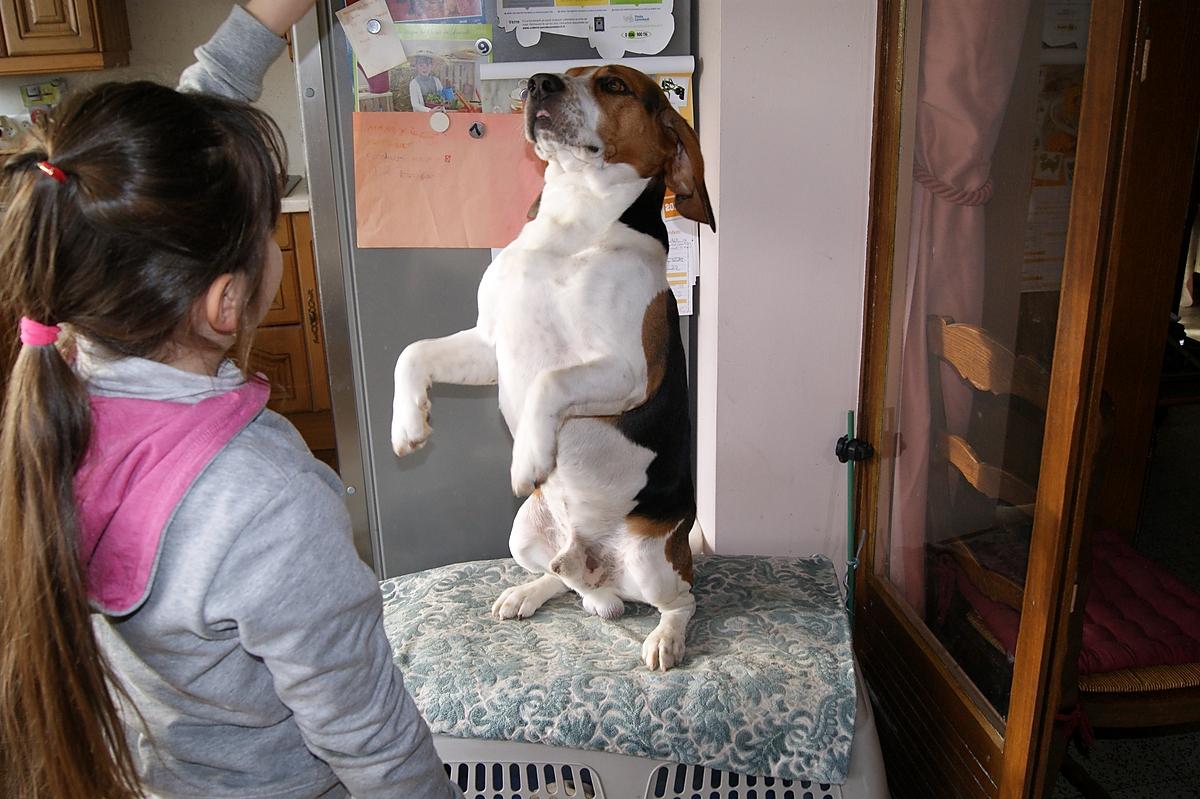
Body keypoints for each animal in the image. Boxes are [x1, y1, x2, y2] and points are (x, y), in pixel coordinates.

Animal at [391, 65, 710, 667]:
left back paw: (664, 637)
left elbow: (549, 380)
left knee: (683, 600)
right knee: (566, 579)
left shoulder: (630, 371)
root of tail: (600, 568)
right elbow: (410, 352)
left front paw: (529, 457)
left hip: (653, 565)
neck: (574, 222)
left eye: (614, 84)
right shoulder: (491, 345)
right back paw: (538, 591)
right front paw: (409, 425)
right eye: (568, 74)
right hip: (524, 534)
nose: (538, 82)